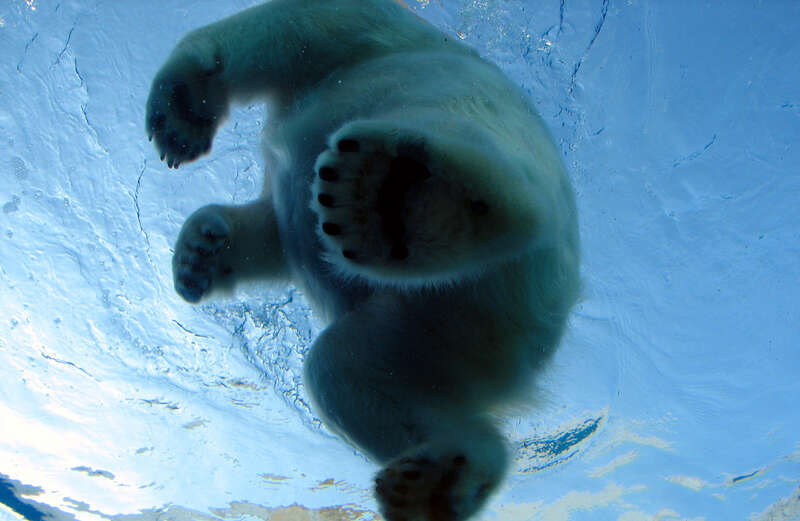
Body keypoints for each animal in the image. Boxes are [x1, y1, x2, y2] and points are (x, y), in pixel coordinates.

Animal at [145, 1, 580, 520]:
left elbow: (275, 32)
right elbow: (275, 234)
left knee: (493, 168)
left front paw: (179, 118)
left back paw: (390, 198)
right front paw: (200, 254)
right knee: (352, 372)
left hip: (477, 128)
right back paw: (438, 482)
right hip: (433, 325)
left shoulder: (344, 33)